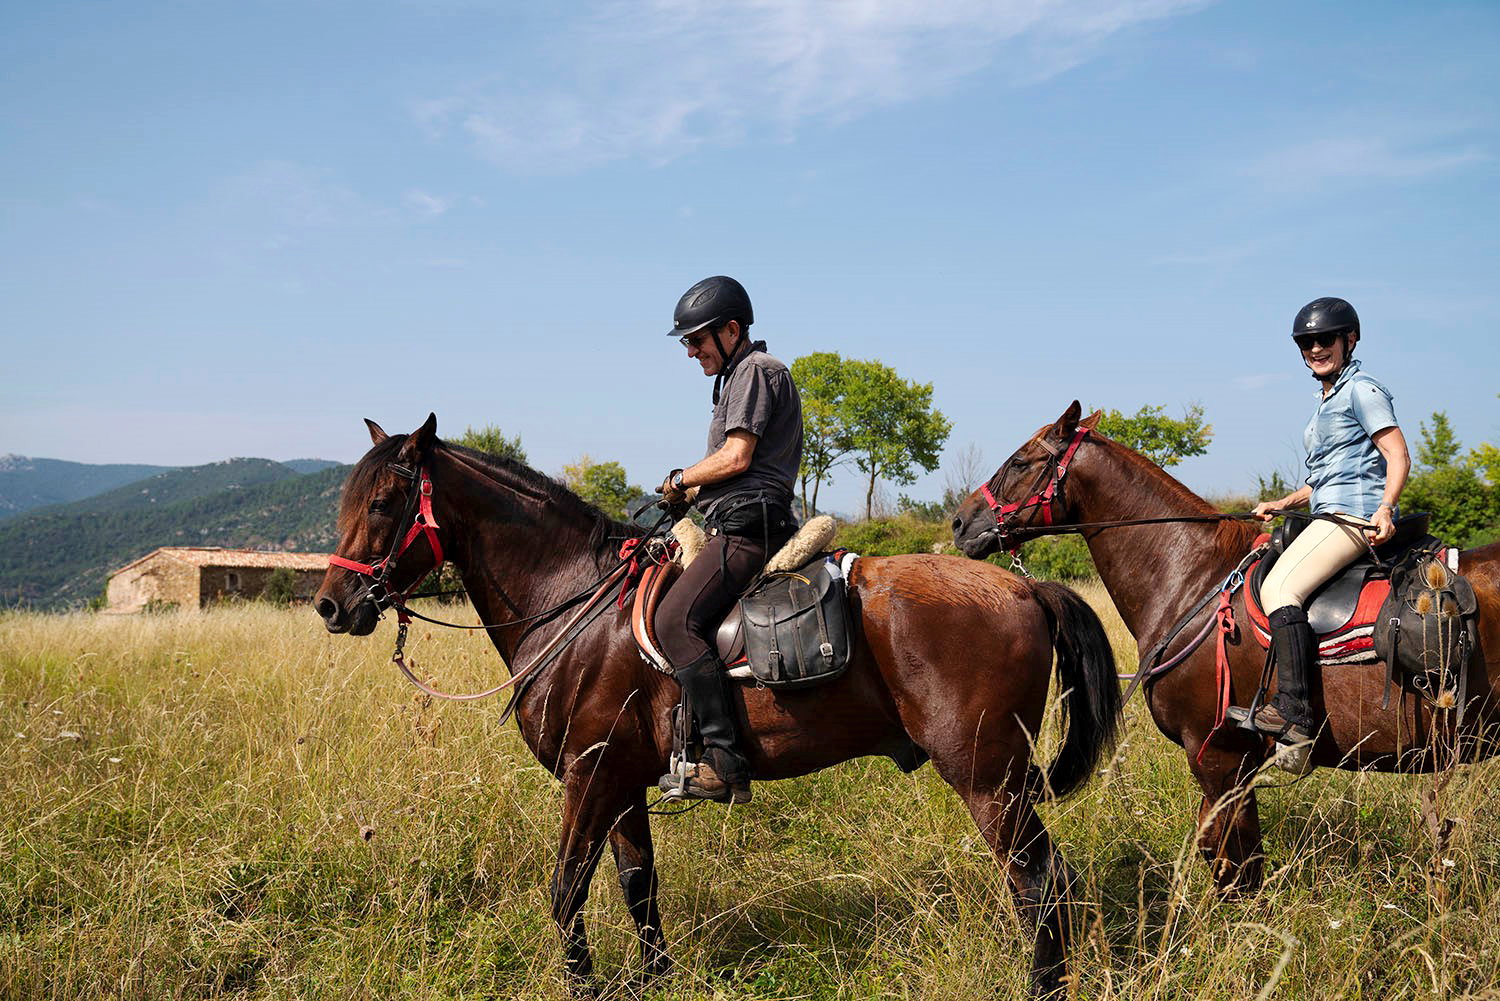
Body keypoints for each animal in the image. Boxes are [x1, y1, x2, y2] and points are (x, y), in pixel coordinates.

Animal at [314, 414, 1123, 997]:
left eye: (383, 504)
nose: (332, 604)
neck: (574, 602)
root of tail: (1024, 587)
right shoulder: (621, 780)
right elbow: (637, 883)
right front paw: (654, 979)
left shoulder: (589, 773)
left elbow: (567, 888)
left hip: (989, 778)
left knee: (1039, 883)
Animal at [952, 400, 1500, 894]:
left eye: (1021, 461)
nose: (959, 523)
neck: (1191, 578)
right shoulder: (1230, 767)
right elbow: (1227, 856)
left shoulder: (1218, 758)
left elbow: (1233, 868)